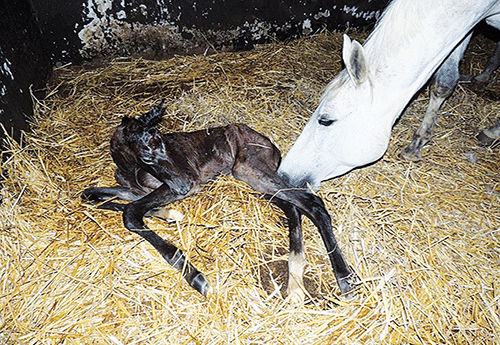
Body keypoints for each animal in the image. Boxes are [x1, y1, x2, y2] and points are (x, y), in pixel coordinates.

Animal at [82, 103, 354, 298]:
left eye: (163, 142)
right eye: (146, 154)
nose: (185, 185)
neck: (129, 169)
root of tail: (274, 148)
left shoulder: (173, 185)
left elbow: (130, 213)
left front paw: (196, 278)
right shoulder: (133, 190)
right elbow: (89, 196)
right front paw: (169, 214)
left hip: (250, 171)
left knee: (313, 203)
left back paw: (344, 281)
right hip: (254, 181)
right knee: (293, 207)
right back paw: (296, 281)